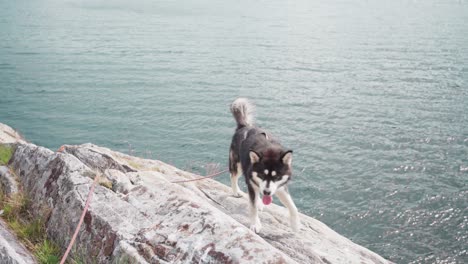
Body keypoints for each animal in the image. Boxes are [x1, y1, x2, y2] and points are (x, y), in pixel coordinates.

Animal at [229, 98, 300, 232]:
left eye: (277, 177)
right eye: (262, 175)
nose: (267, 192)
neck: (269, 150)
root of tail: (245, 126)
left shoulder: (280, 187)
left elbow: (293, 207)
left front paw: (295, 224)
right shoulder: (251, 182)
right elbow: (252, 207)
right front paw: (255, 223)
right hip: (238, 165)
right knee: (233, 176)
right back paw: (236, 191)